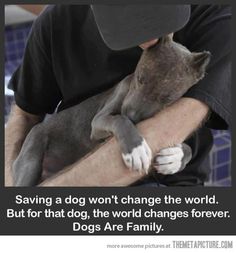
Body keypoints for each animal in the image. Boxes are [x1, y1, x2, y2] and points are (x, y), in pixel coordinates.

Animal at [12, 35, 210, 186]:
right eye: (140, 78)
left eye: (166, 99)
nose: (132, 116)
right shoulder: (98, 122)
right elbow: (119, 120)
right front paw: (135, 149)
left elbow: (187, 149)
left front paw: (176, 157)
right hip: (31, 157)